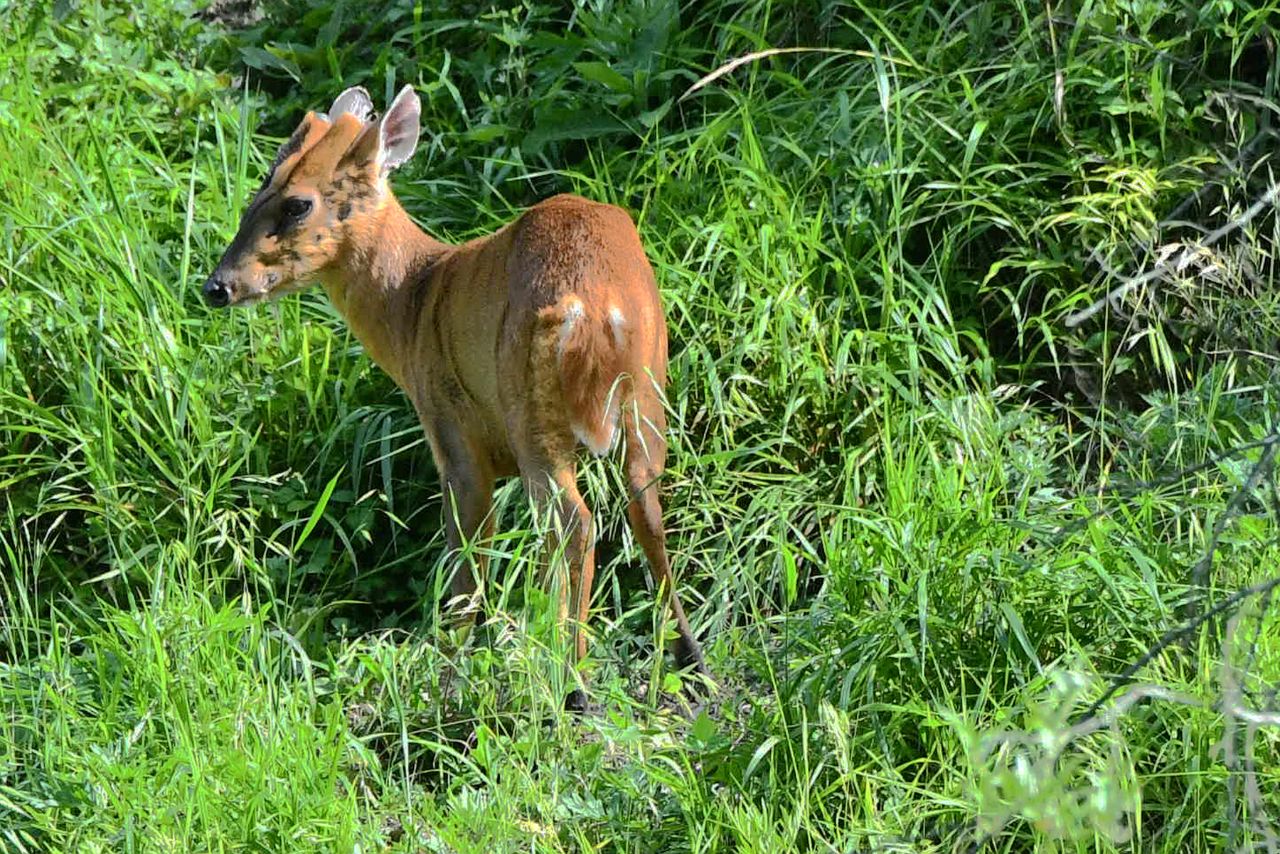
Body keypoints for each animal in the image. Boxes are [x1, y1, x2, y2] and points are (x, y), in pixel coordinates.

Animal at [204, 85, 716, 706]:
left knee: (573, 522)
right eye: (261, 185)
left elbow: (464, 557)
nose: (217, 286)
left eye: (296, 204)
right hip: (648, 392)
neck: (415, 298)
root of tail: (597, 309)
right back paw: (690, 660)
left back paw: (570, 679)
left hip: (531, 411)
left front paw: (445, 664)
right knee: (647, 509)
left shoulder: (453, 433)